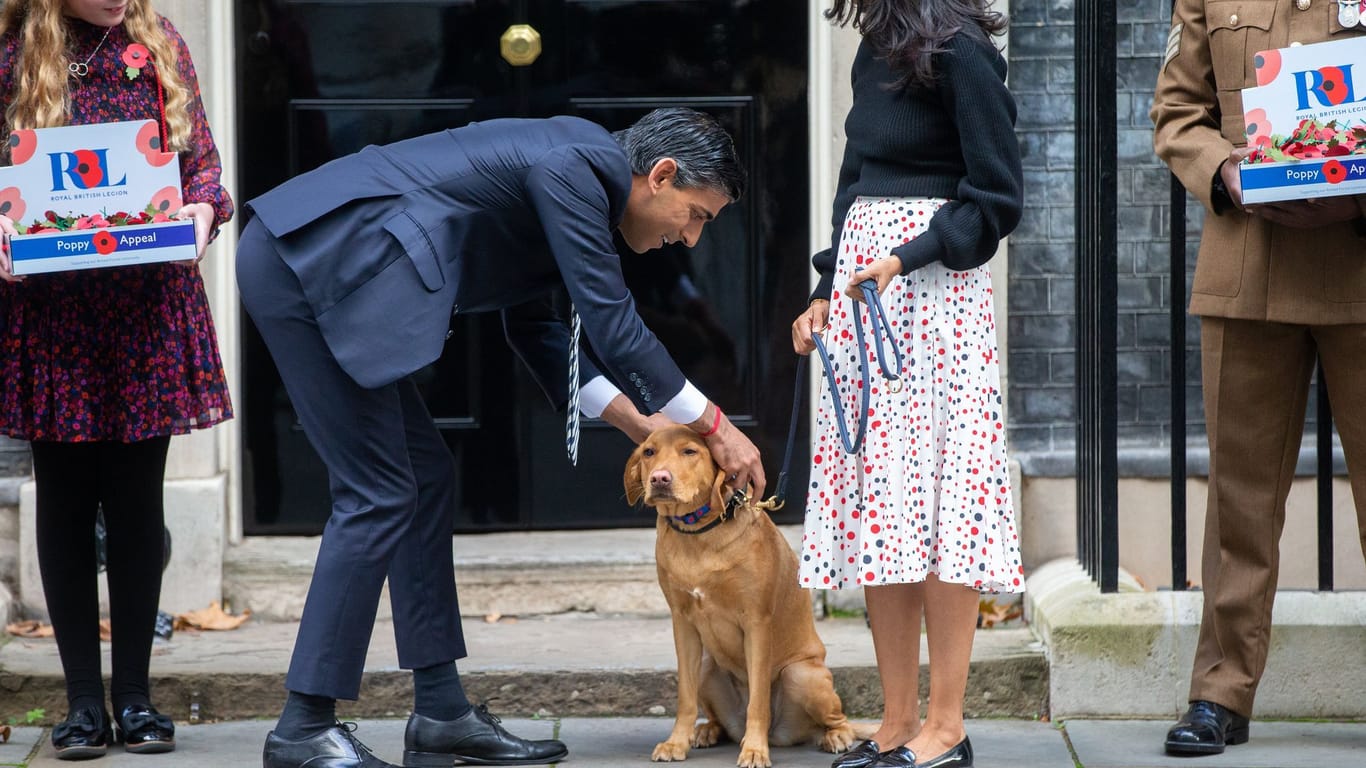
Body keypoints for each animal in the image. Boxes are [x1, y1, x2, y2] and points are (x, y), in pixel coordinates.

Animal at [625, 423, 868, 765]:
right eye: (648, 452)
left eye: (690, 451)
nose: (659, 478)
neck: (698, 531)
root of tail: (783, 735)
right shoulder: (682, 622)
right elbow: (685, 698)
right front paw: (676, 743)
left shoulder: (756, 623)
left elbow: (759, 701)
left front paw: (754, 749)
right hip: (707, 665)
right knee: (717, 714)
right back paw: (708, 730)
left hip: (801, 674)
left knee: (835, 719)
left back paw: (836, 736)